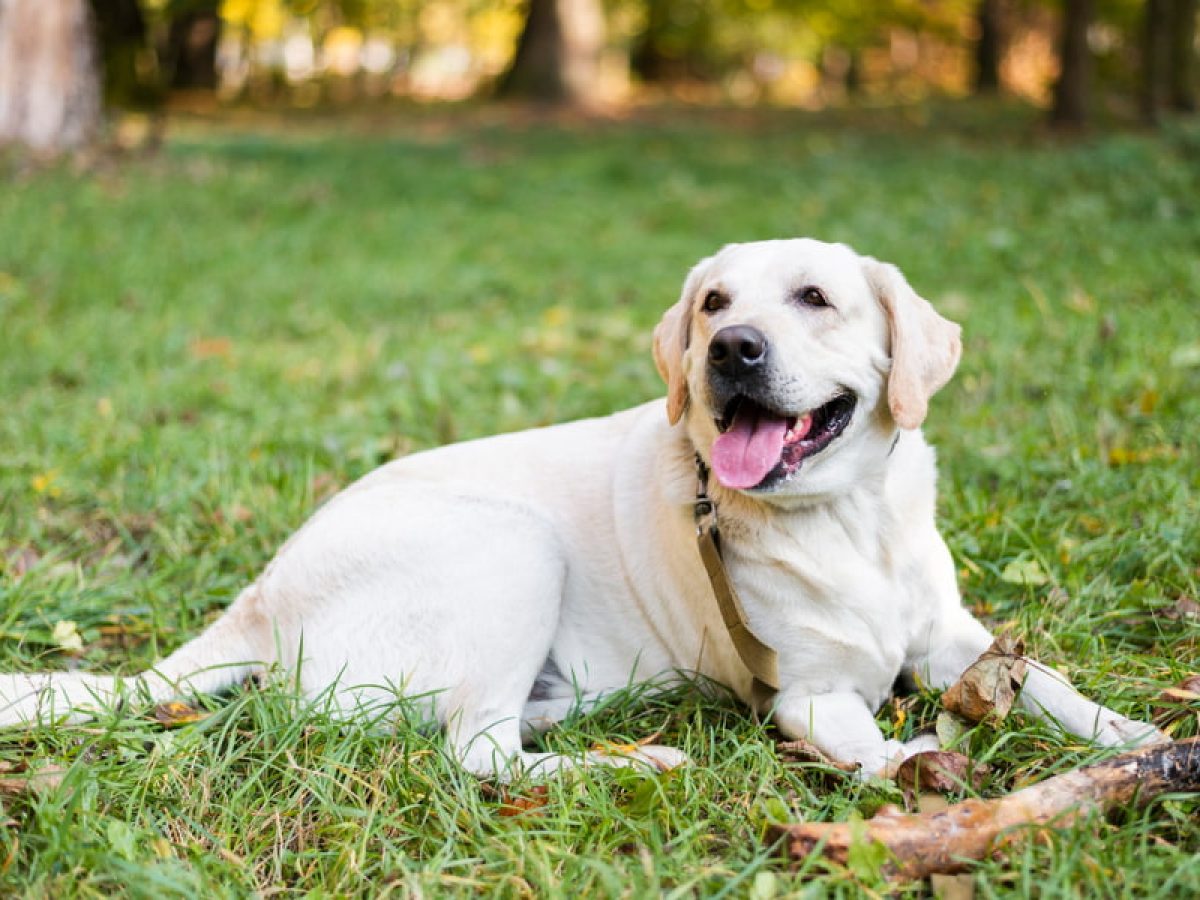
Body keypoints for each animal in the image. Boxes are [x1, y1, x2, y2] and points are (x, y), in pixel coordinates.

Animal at [0, 241, 1161, 782]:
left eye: (815, 299)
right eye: (713, 303)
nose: (729, 351)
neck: (847, 521)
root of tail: (257, 597)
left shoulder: (957, 637)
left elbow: (1050, 684)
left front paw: (1137, 737)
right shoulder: (807, 695)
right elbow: (875, 743)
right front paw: (924, 765)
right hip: (513, 546)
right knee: (474, 751)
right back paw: (634, 758)